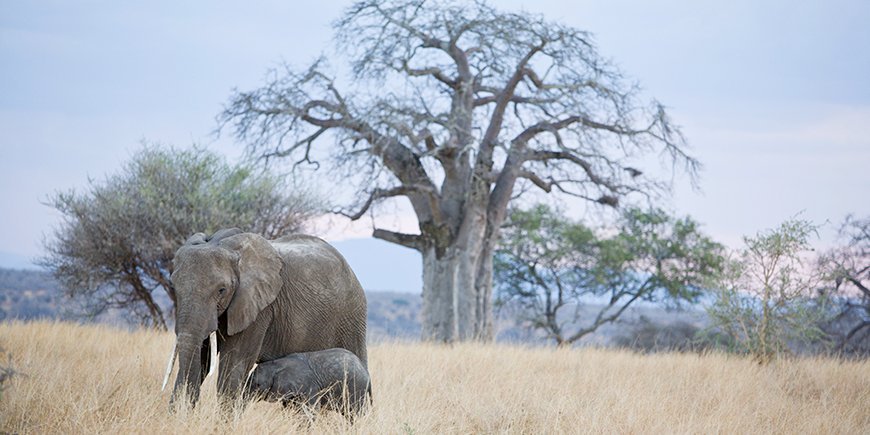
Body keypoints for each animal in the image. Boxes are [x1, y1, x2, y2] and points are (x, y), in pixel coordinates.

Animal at [161, 228, 368, 407]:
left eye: (222, 290)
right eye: (174, 286)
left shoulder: (260, 308)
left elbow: (235, 364)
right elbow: (202, 357)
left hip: (351, 317)